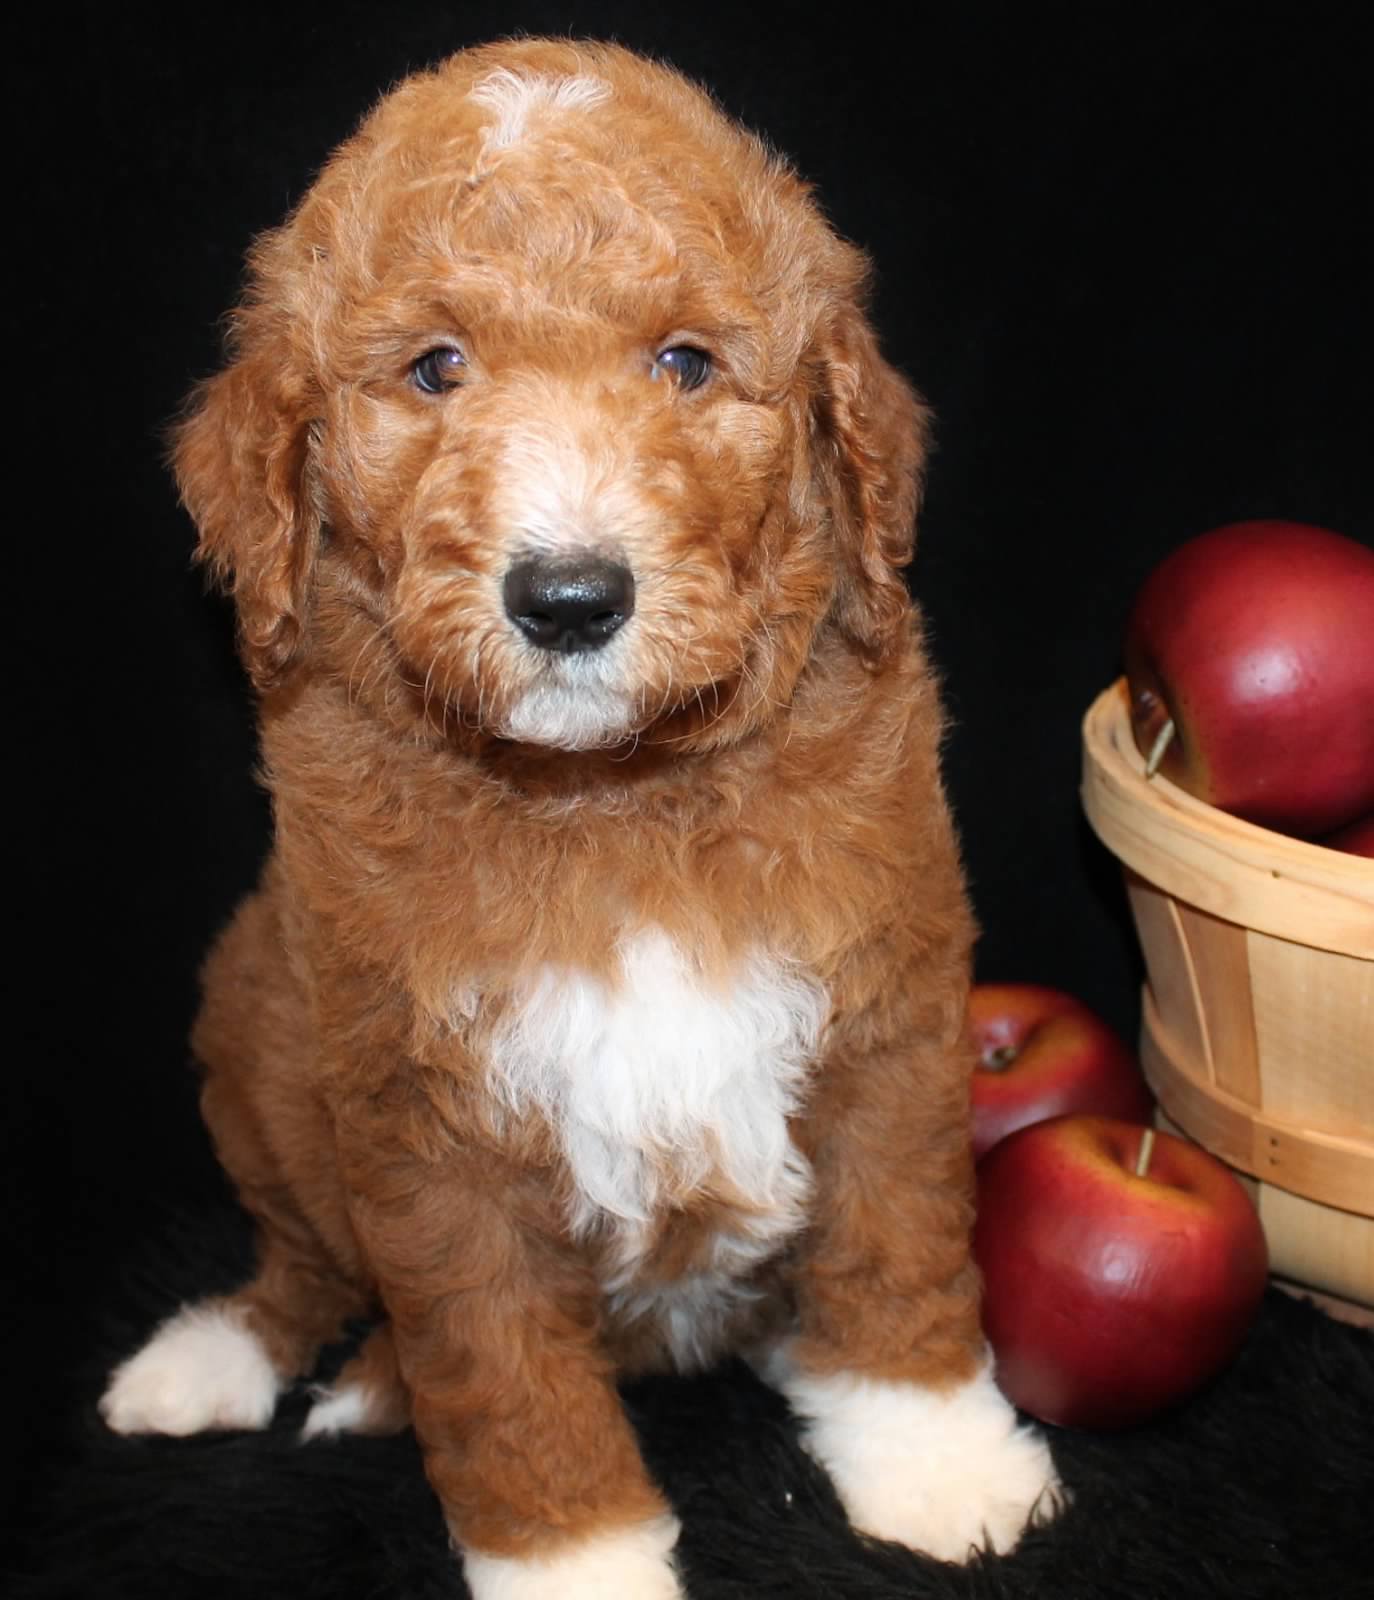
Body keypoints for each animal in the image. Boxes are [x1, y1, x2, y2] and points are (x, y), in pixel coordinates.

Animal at [101, 37, 1062, 1600]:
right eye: (435, 368)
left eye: (685, 364)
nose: (567, 598)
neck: (614, 804)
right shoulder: (419, 1127)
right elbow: (504, 1384)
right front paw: (578, 1563)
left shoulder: (891, 1024)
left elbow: (900, 1256)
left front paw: (935, 1460)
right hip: (258, 1035)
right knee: (297, 1265)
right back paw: (208, 1365)